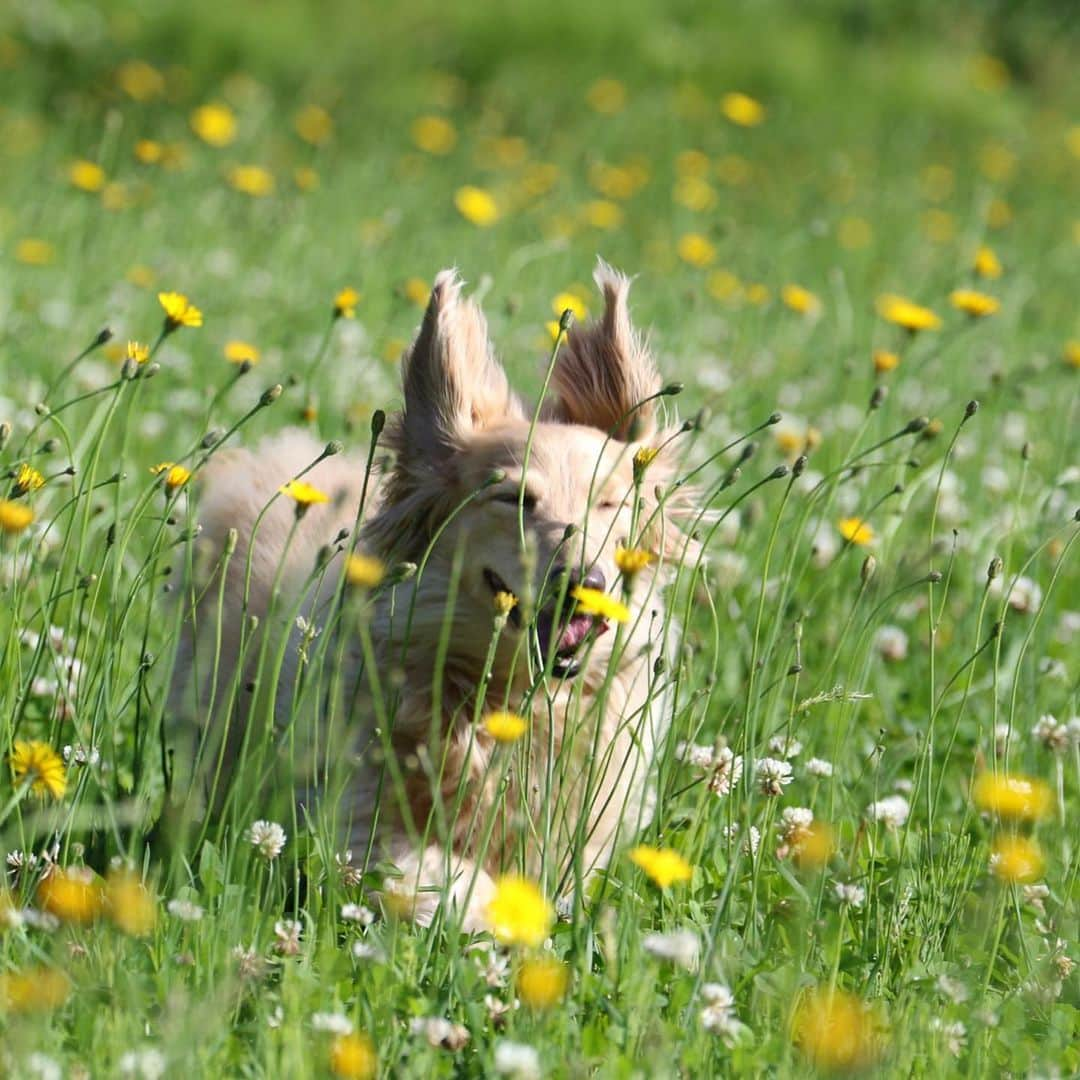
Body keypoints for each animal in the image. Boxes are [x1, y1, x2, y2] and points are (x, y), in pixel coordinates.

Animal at [173, 261, 686, 928]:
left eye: (609, 502)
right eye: (514, 498)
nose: (588, 583)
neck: (509, 699)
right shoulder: (356, 820)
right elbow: (448, 877)